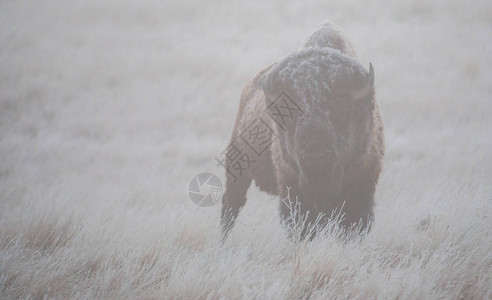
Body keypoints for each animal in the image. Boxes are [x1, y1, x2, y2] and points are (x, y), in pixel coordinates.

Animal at [219, 22, 384, 240]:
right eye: (288, 114)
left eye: (340, 109)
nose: (315, 157)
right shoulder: (293, 193)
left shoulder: (361, 193)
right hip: (237, 167)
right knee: (232, 204)